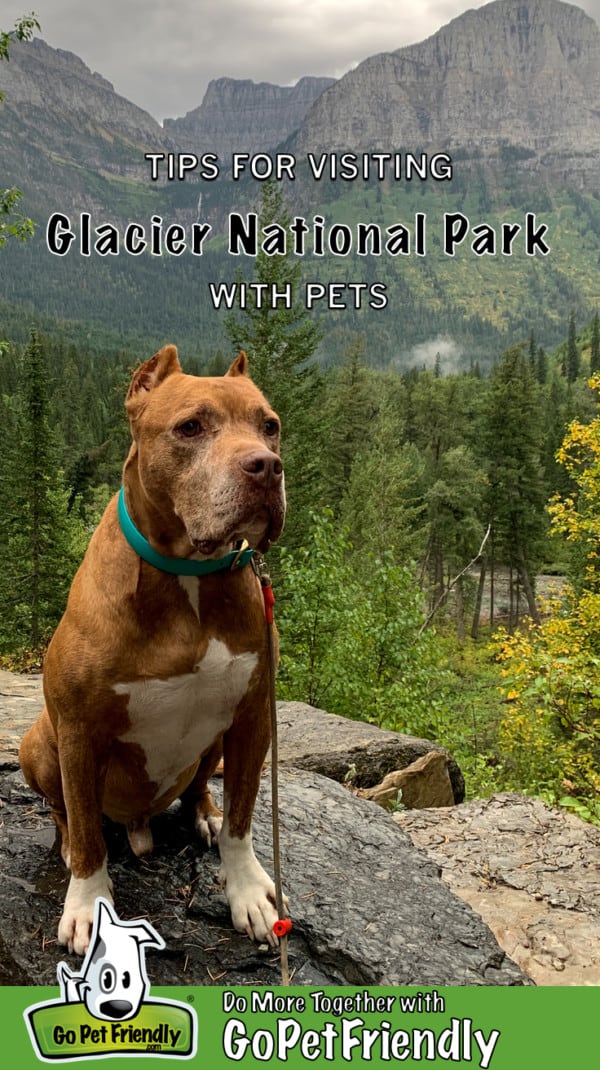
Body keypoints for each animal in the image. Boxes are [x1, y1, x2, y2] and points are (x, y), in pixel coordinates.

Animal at [18, 346, 284, 958]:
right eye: (190, 427)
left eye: (270, 426)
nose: (266, 466)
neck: (188, 576)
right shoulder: (79, 729)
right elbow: (88, 831)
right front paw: (87, 904)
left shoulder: (253, 716)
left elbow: (243, 813)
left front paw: (245, 889)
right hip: (39, 744)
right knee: (67, 813)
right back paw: (67, 844)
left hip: (213, 741)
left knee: (201, 789)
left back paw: (203, 816)